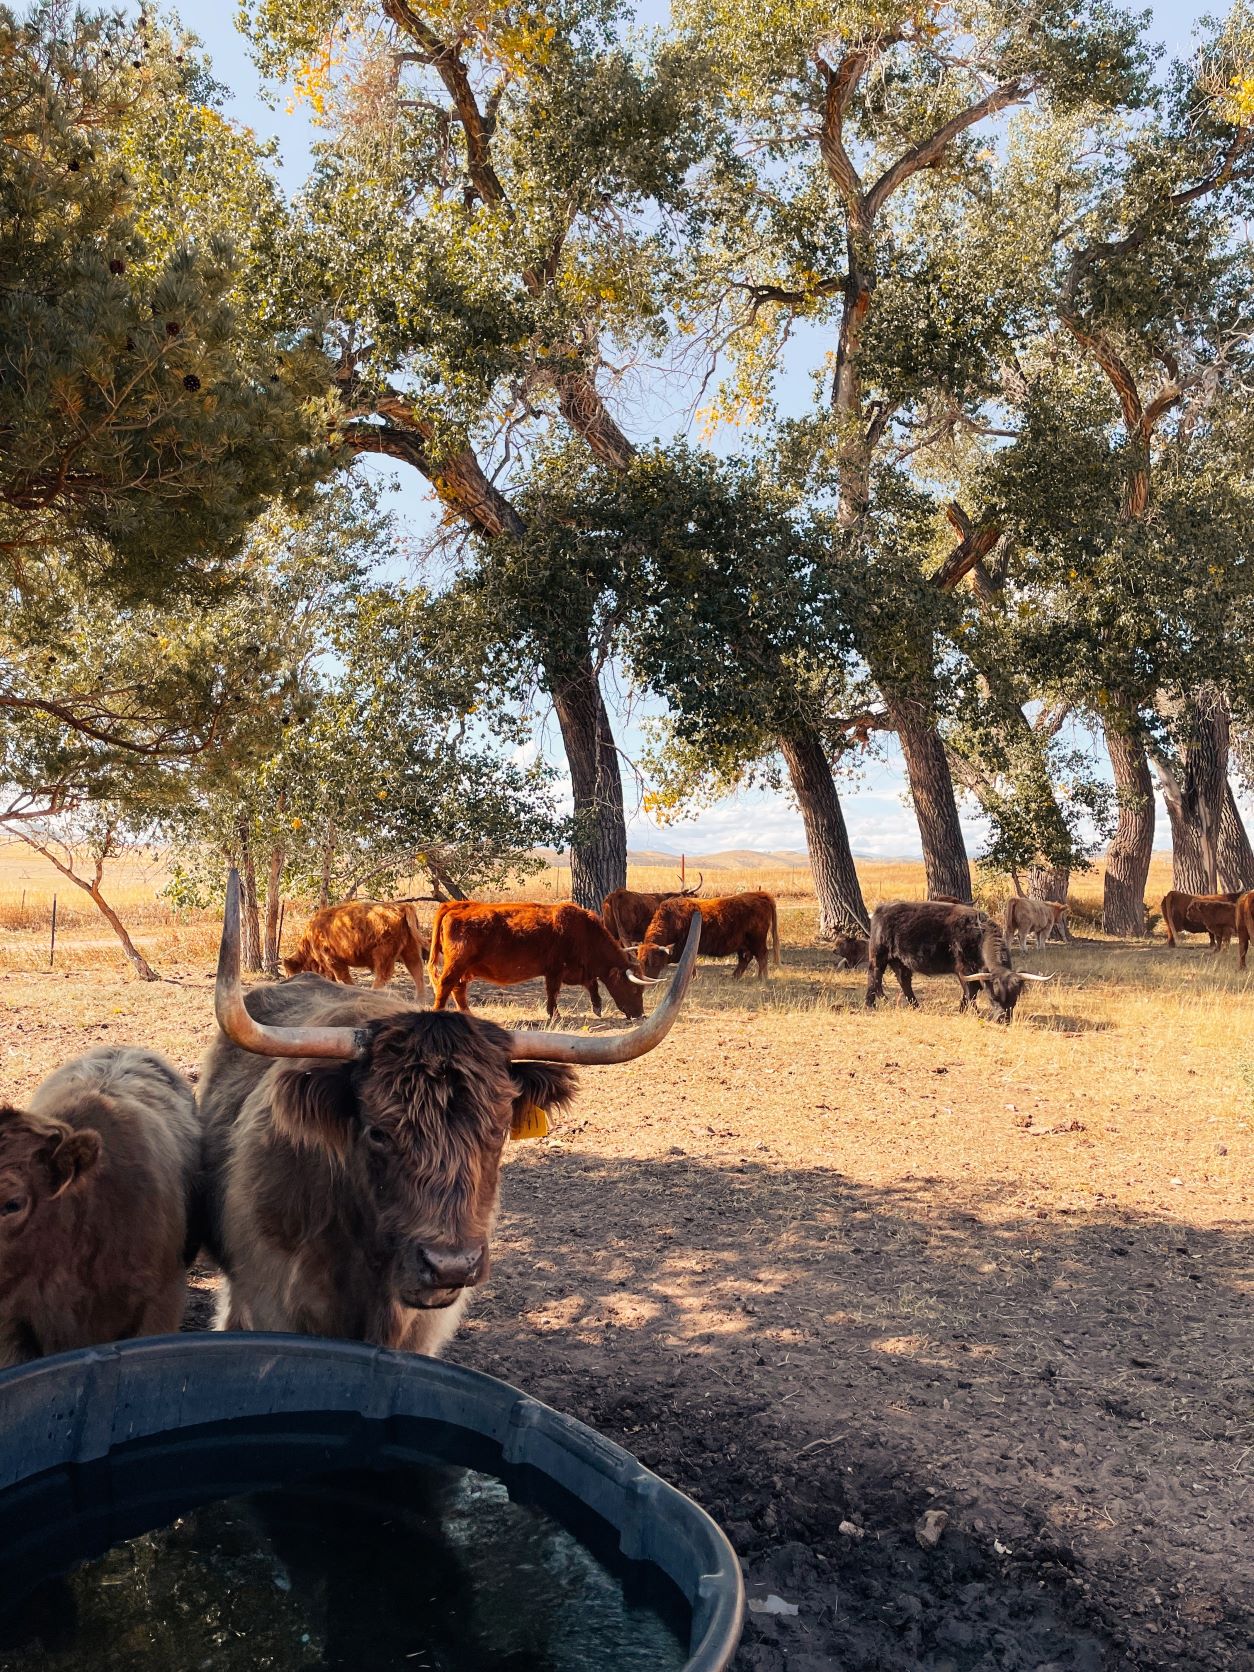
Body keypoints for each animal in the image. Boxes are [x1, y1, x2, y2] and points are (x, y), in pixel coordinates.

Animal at [284, 899, 430, 996]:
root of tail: (402, 906)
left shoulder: (332, 960)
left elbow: (342, 977)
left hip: (383, 953)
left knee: (383, 975)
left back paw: (372, 993)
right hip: (410, 950)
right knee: (418, 972)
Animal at [428, 901, 659, 1020]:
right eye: (634, 989)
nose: (640, 1015)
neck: (584, 932)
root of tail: (456, 905)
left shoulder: (577, 970)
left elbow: (592, 984)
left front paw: (597, 1006)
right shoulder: (555, 970)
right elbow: (553, 992)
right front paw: (554, 1015)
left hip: (463, 968)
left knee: (458, 988)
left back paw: (467, 1013)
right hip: (456, 965)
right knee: (445, 985)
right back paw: (438, 1012)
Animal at [638, 891, 781, 981]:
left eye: (652, 962)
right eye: (640, 962)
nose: (646, 980)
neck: (671, 919)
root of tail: (759, 894)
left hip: (757, 940)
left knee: (762, 956)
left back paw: (762, 978)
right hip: (743, 943)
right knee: (745, 958)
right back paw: (735, 977)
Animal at [864, 900, 1051, 1022]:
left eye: (1015, 996)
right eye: (993, 997)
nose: (1002, 1019)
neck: (980, 934)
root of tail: (882, 907)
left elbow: (970, 992)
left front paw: (963, 1009)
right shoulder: (964, 969)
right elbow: (970, 991)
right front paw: (973, 1012)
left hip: (901, 960)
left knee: (903, 980)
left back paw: (914, 1005)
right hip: (878, 955)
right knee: (874, 976)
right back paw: (870, 1004)